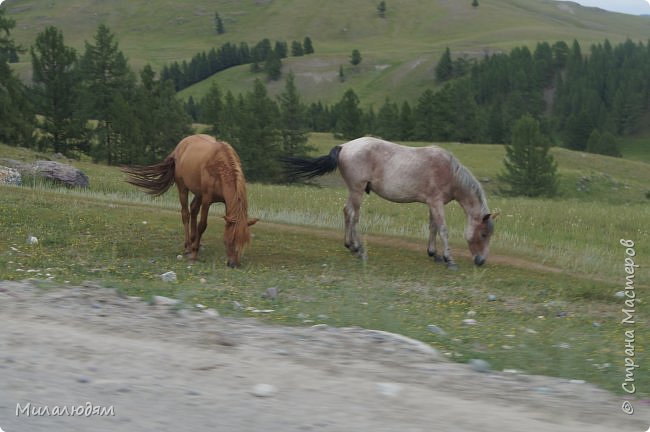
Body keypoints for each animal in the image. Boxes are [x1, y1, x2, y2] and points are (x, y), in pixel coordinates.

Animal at [121, 133, 256, 266]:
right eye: (231, 240)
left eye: (244, 242)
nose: (234, 264)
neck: (220, 168)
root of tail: (178, 148)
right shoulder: (207, 200)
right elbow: (202, 225)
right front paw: (194, 254)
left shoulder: (227, 203)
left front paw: (196, 246)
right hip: (183, 189)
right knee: (186, 214)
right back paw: (188, 247)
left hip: (198, 193)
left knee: (194, 209)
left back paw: (193, 241)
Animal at [280, 137, 494, 268]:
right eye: (483, 234)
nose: (481, 261)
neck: (449, 171)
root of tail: (344, 146)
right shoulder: (436, 202)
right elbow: (442, 229)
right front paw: (449, 259)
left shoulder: (432, 203)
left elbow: (433, 227)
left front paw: (434, 254)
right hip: (357, 191)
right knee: (353, 215)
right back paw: (358, 249)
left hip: (354, 191)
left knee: (346, 211)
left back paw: (350, 245)